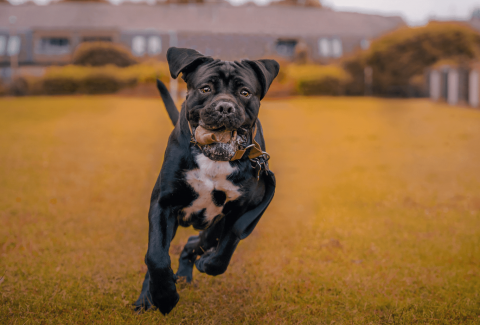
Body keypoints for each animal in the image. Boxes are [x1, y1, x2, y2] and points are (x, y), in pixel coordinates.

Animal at [134, 46, 278, 312]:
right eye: (205, 89)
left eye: (244, 92)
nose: (225, 107)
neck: (214, 159)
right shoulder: (163, 204)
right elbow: (156, 256)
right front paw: (164, 296)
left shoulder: (242, 211)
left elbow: (226, 249)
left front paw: (206, 264)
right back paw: (148, 298)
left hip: (214, 224)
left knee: (198, 241)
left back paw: (186, 271)